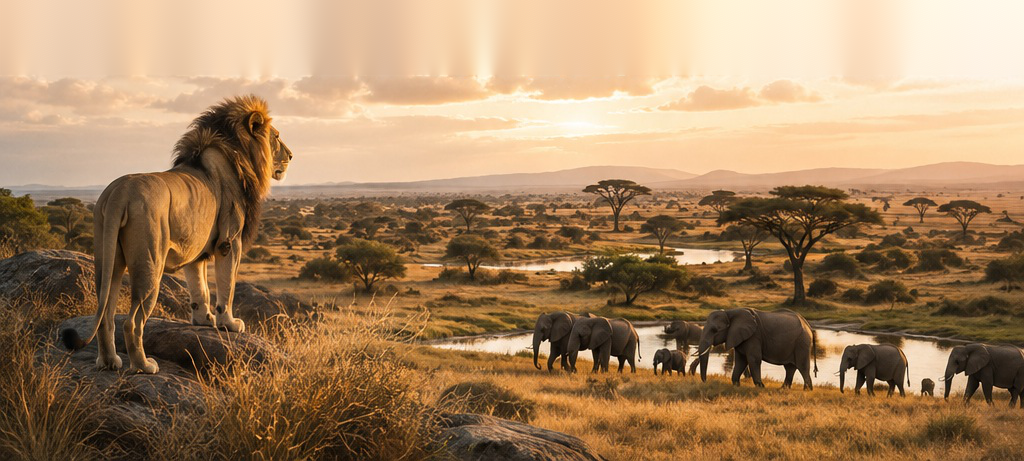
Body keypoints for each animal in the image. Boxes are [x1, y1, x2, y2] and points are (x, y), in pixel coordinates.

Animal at [61, 95, 292, 374]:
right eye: (276, 136)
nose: (291, 155)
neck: (237, 153)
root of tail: (119, 193)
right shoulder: (229, 242)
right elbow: (227, 287)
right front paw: (229, 323)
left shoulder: (194, 247)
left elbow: (199, 288)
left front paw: (203, 320)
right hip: (150, 264)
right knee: (132, 322)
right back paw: (144, 365)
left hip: (108, 261)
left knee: (106, 315)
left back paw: (109, 362)